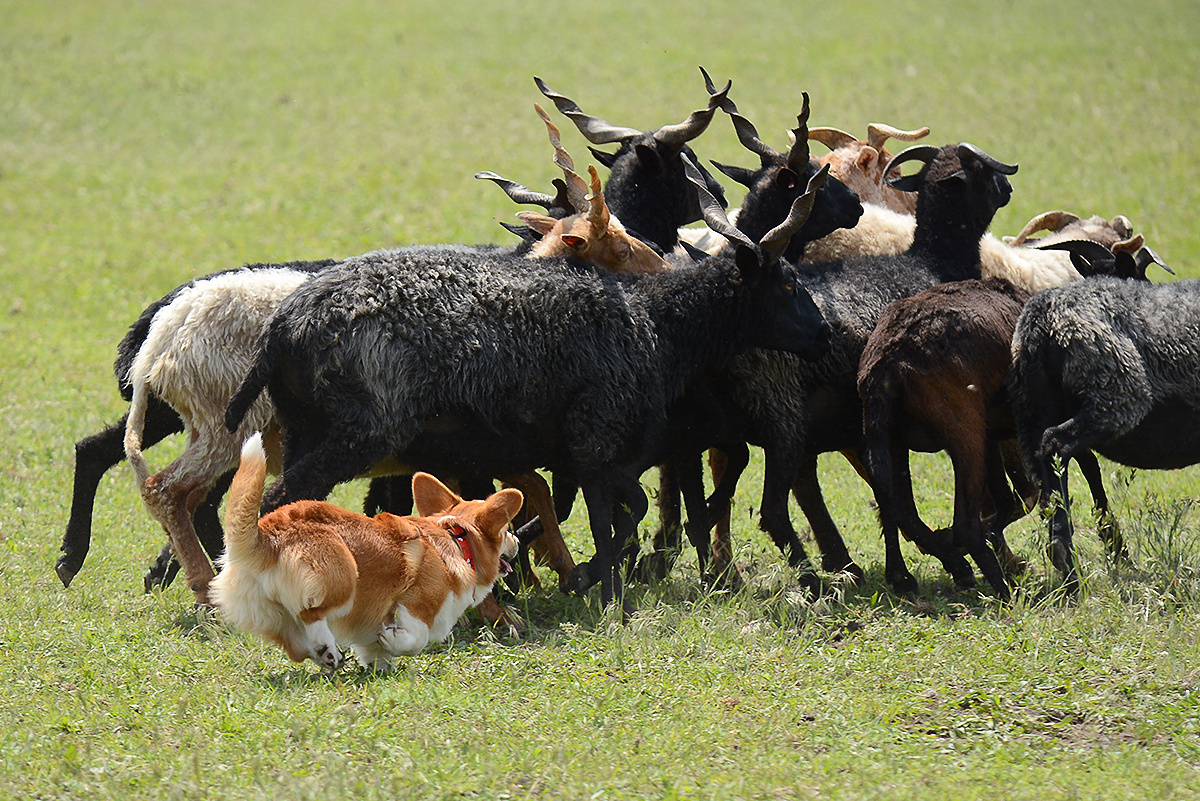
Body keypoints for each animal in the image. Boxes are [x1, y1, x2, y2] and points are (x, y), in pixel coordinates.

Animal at [213, 434, 523, 671]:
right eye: (505, 530)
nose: (518, 541)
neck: (458, 541)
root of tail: (268, 533)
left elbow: (373, 649)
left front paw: (381, 666)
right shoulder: (416, 604)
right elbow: (416, 638)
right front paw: (393, 639)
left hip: (274, 614)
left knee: (297, 647)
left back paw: (328, 657)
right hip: (343, 576)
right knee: (311, 613)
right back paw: (327, 649)